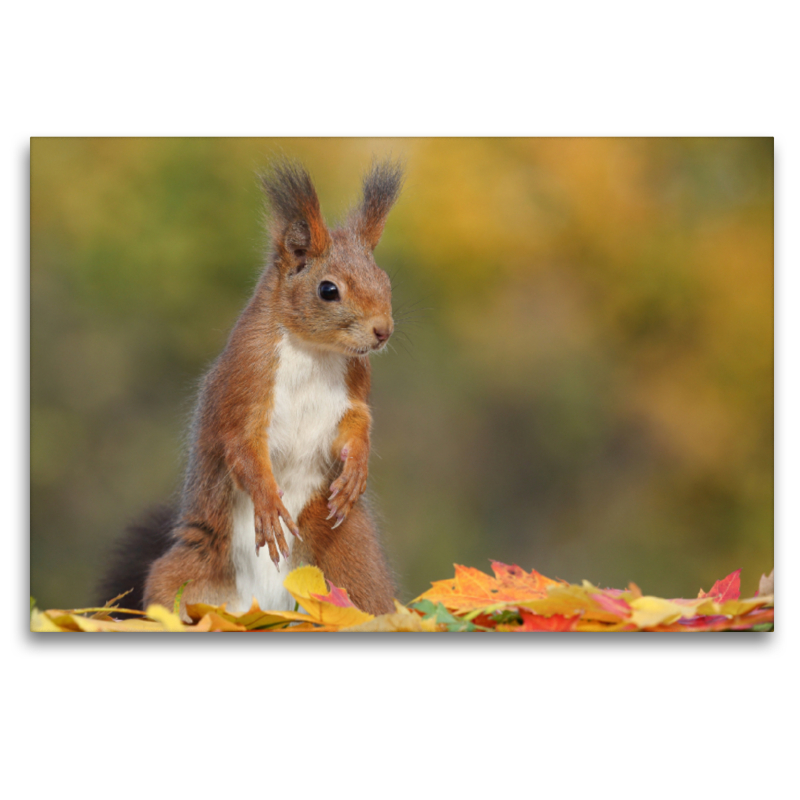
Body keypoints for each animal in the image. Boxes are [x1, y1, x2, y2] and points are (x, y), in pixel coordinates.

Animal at [98, 158, 400, 620]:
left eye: (384, 280)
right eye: (328, 290)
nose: (383, 331)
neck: (314, 352)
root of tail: (264, 609)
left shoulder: (353, 392)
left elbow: (355, 425)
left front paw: (356, 469)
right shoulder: (244, 386)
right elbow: (242, 448)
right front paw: (269, 503)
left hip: (350, 560)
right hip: (188, 571)